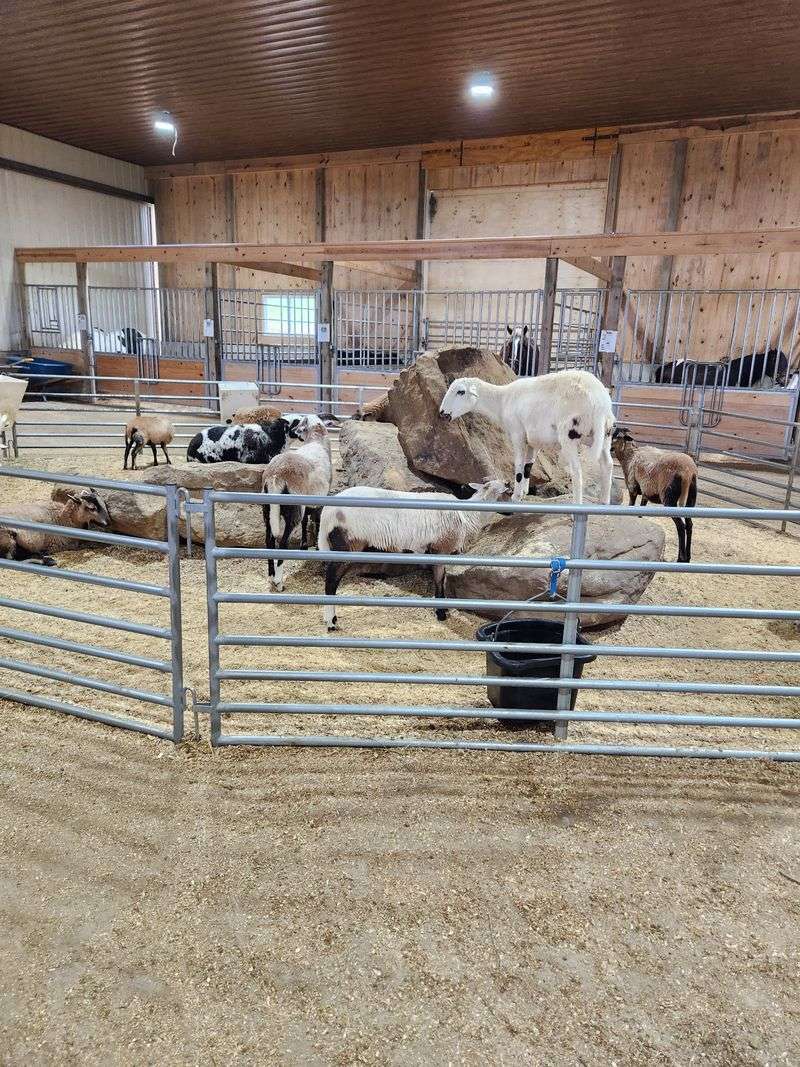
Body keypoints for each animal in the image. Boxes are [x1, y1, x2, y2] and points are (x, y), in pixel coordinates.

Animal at [262, 415, 333, 590]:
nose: (294, 431)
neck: (317, 441)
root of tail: (276, 476)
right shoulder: (321, 499)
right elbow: (316, 520)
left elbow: (306, 520)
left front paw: (304, 545)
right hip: (293, 509)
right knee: (283, 543)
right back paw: (279, 582)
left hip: (267, 510)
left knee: (269, 540)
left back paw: (271, 576)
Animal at [318, 478, 512, 631]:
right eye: (509, 492)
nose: (512, 511)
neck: (466, 516)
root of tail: (327, 514)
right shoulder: (440, 549)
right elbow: (439, 580)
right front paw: (441, 613)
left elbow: (441, 579)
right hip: (348, 545)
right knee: (331, 581)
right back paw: (331, 622)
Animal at [439, 369, 614, 505]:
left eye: (461, 392)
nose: (442, 414)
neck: (501, 401)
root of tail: (599, 402)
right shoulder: (533, 441)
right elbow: (528, 466)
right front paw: (524, 492)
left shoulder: (517, 433)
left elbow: (518, 465)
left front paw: (516, 496)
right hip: (605, 434)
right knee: (608, 464)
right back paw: (604, 501)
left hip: (569, 434)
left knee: (577, 470)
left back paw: (576, 506)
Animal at [611, 426, 698, 562]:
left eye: (619, 436)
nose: (609, 445)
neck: (630, 457)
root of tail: (688, 472)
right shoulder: (645, 493)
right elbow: (640, 513)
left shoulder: (632, 487)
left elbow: (631, 506)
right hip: (691, 498)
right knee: (689, 524)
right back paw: (688, 558)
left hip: (669, 498)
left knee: (680, 526)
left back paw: (680, 558)